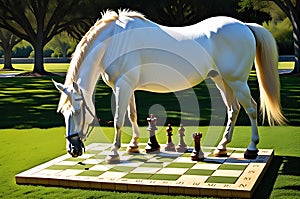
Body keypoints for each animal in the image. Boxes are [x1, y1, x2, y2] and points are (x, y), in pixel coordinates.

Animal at [52, 9, 284, 163]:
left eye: (78, 111)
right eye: (62, 113)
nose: (72, 149)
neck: (114, 41)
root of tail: (245, 26)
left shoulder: (123, 86)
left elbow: (118, 120)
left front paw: (113, 153)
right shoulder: (128, 87)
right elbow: (132, 115)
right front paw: (134, 145)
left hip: (237, 81)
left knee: (251, 109)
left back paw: (251, 149)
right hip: (221, 80)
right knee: (233, 110)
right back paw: (221, 148)